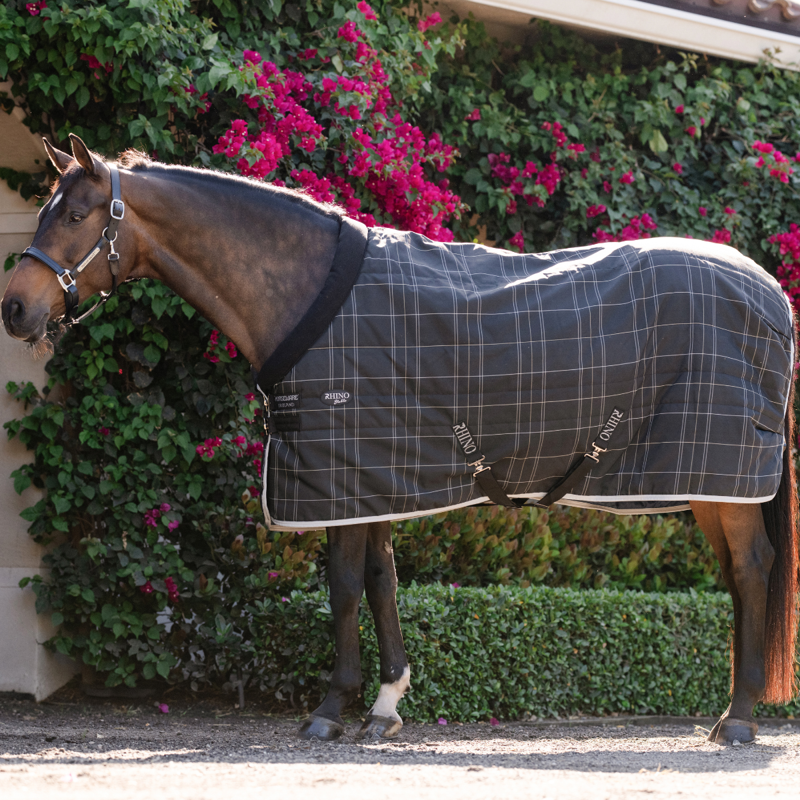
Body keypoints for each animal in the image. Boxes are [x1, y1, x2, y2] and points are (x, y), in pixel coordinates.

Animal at [2, 135, 797, 747]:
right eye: (42, 212)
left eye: (77, 214)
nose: (15, 308)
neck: (308, 291)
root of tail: (771, 292)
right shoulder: (372, 477)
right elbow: (381, 581)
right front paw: (385, 705)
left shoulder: (339, 472)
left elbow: (344, 587)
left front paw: (331, 709)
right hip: (708, 483)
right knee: (738, 578)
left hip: (724, 480)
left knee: (754, 569)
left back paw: (738, 720)